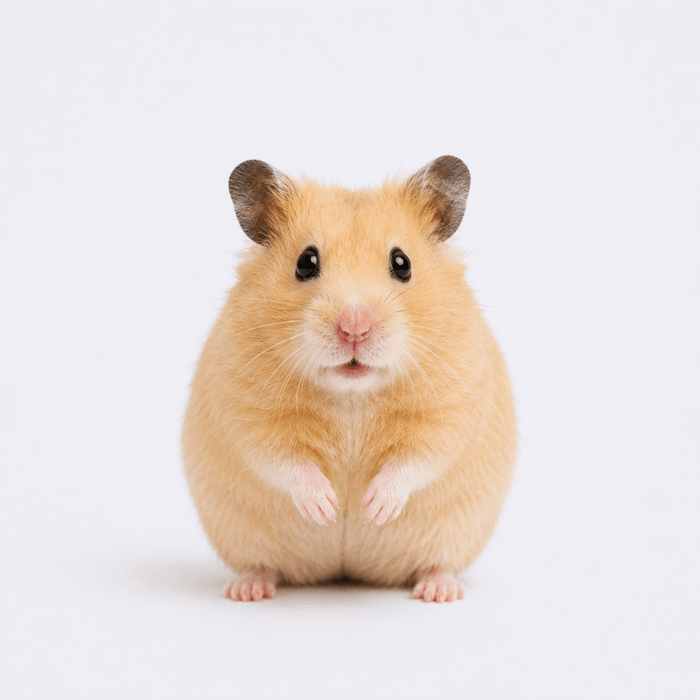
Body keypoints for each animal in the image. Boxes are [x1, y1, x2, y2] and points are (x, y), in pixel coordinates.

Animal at [182, 156, 517, 603]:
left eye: (402, 263)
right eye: (306, 262)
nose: (354, 328)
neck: (352, 394)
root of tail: (345, 573)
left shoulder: (453, 408)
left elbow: (418, 459)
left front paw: (371, 508)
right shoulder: (246, 411)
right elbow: (283, 461)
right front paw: (328, 507)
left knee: (437, 563)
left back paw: (439, 591)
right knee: (262, 565)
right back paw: (248, 589)